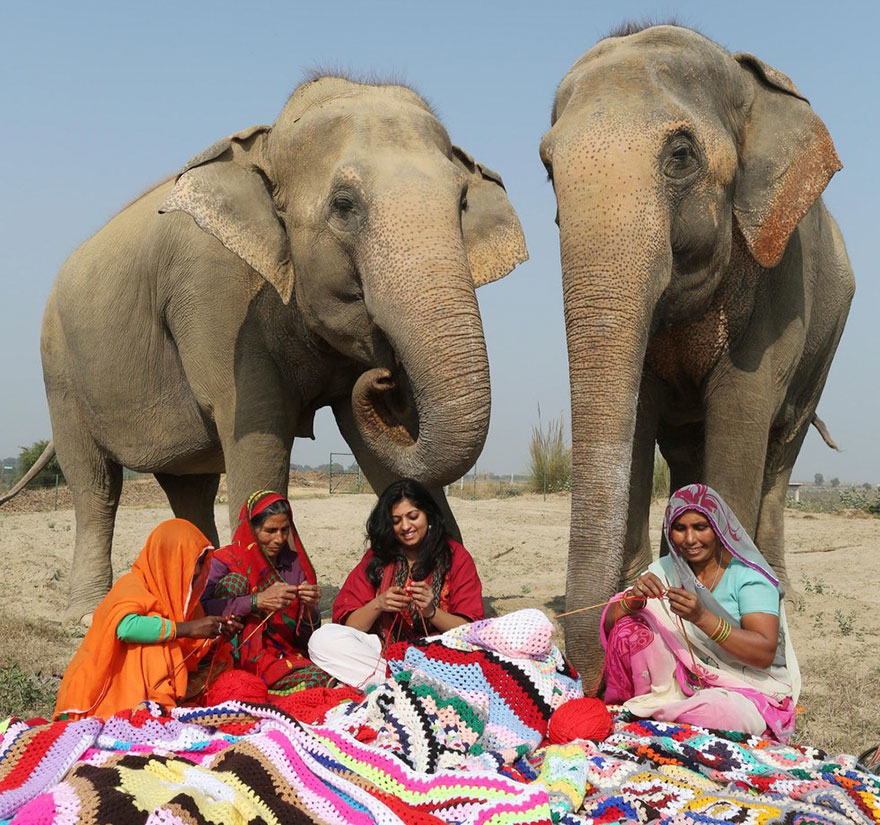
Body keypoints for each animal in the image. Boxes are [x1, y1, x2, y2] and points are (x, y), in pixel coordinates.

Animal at [34, 75, 524, 616]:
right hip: (60, 368)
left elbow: (377, 447)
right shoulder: (218, 298)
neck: (268, 143)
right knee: (94, 484)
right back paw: (87, 611)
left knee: (190, 487)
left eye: (462, 204)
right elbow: (259, 433)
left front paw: (475, 615)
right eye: (344, 205)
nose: (387, 377)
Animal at [540, 24, 856, 684]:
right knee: (687, 450)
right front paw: (641, 585)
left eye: (681, 155)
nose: (590, 665)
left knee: (781, 448)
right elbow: (639, 412)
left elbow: (741, 409)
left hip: (831, 335)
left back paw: (781, 585)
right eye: (548, 168)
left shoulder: (780, 276)